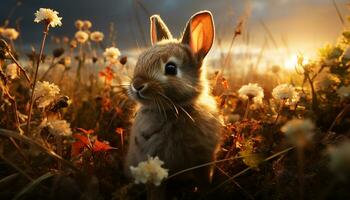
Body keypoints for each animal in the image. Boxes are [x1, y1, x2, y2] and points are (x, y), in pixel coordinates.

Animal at [126, 10, 221, 198]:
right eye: (140, 60)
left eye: (171, 68)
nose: (137, 85)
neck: (176, 110)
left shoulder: (204, 161)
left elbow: (204, 182)